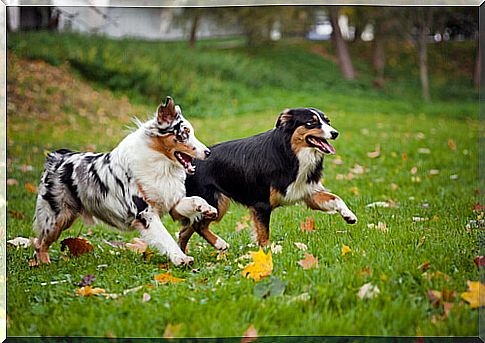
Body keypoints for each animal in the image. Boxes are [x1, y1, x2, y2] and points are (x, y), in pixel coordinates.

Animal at [172, 107, 358, 253]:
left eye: (327, 121)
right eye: (311, 123)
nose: (335, 133)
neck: (291, 153)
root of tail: (188, 164)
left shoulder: (308, 192)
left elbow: (336, 198)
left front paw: (349, 215)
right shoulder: (261, 204)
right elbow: (263, 234)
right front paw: (268, 254)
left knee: (185, 230)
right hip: (215, 202)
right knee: (198, 226)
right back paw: (219, 244)